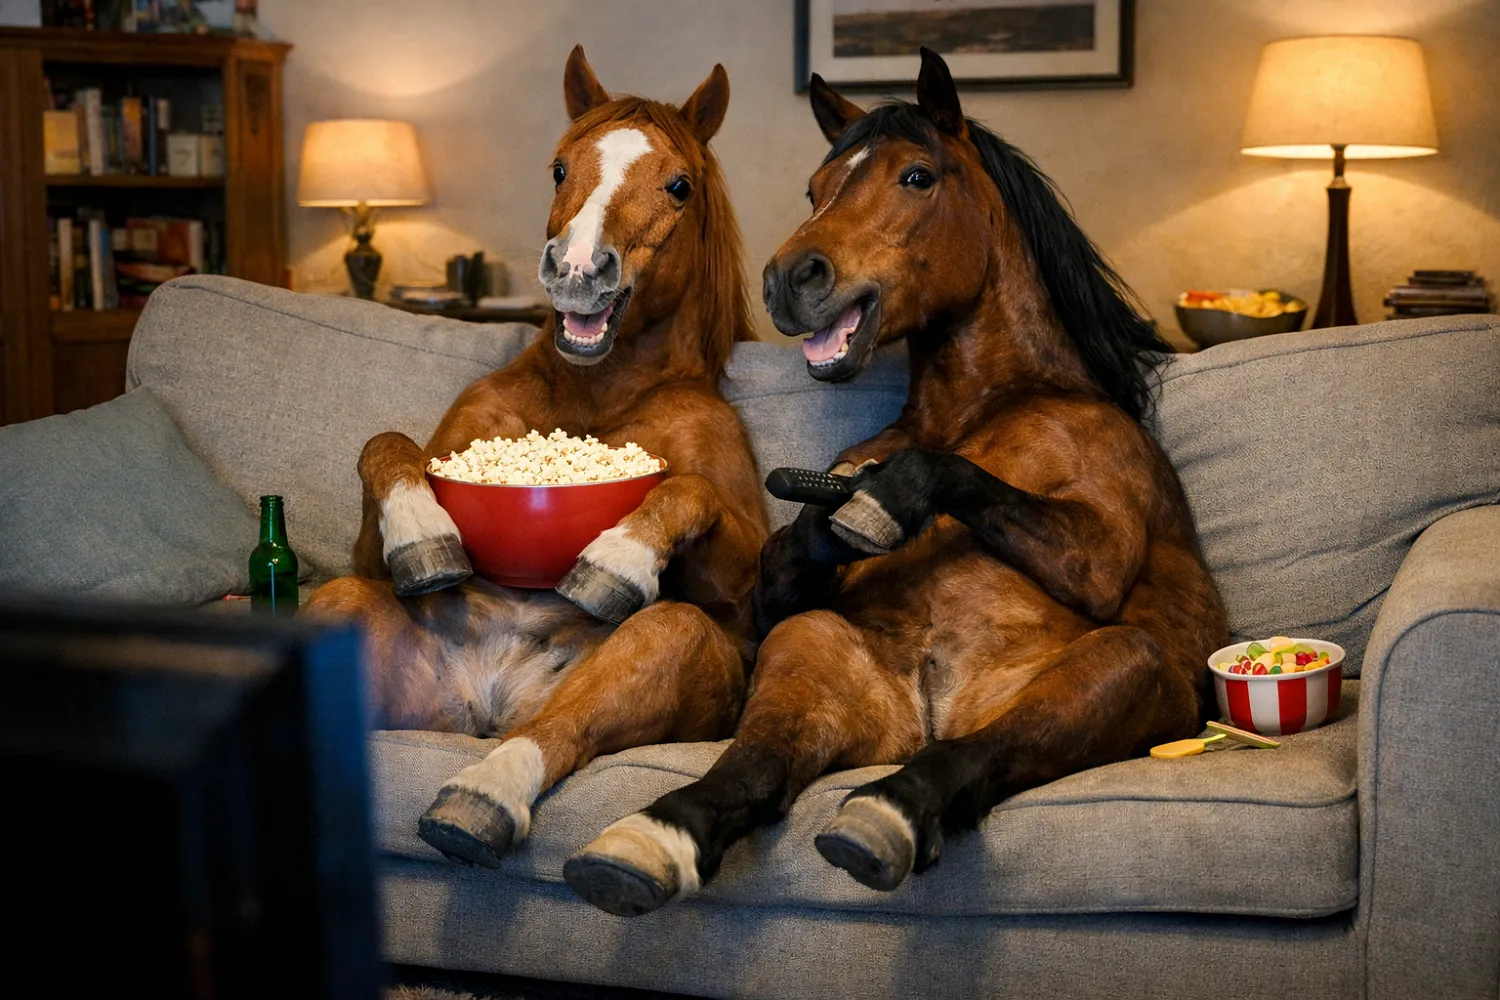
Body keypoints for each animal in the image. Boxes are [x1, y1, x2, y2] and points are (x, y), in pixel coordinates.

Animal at [304, 46, 768, 869]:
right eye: (559, 168)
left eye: (679, 184)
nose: (578, 268)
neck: (595, 391)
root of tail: (491, 701)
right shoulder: (382, 534)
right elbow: (387, 447)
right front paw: (422, 534)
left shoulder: (736, 590)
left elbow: (689, 490)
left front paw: (619, 556)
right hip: (344, 610)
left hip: (666, 644)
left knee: (558, 727)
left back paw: (479, 799)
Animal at [560, 48, 1228, 917]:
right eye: (815, 188)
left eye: (917, 176)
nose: (790, 278)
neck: (990, 405)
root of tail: (931, 718)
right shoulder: (781, 608)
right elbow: (792, 549)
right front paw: (835, 519)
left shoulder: (1100, 555)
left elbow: (946, 478)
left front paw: (880, 506)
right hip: (815, 650)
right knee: (759, 766)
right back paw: (650, 840)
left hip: (1124, 664)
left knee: (972, 756)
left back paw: (886, 812)